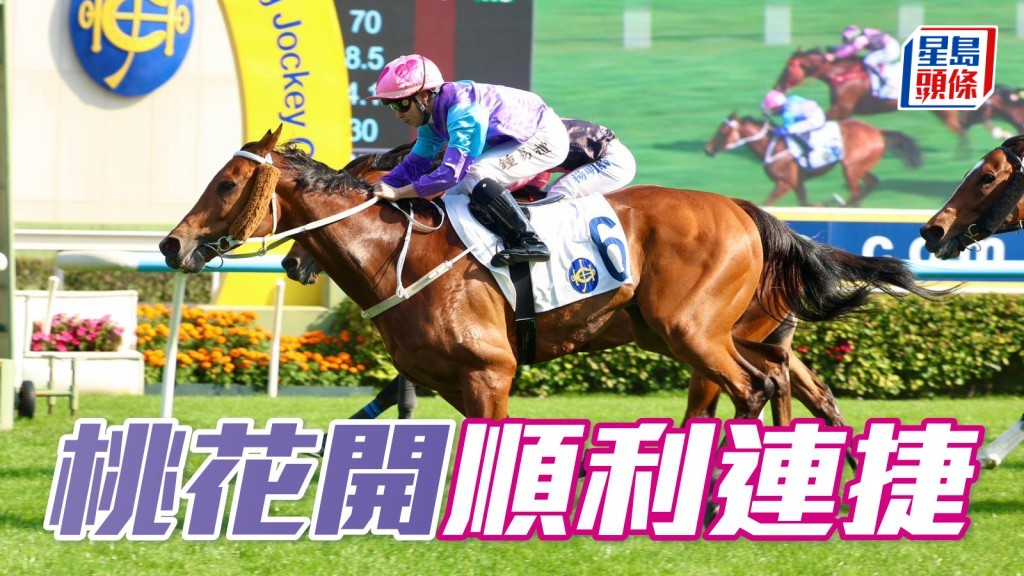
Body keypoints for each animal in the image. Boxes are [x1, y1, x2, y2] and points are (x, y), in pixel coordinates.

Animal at [161, 126, 947, 426]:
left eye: (228, 182)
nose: (173, 246)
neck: (402, 258)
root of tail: (748, 210)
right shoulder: (446, 378)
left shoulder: (490, 372)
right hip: (720, 332)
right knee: (788, 386)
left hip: (694, 330)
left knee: (753, 390)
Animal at [704, 112, 922, 207]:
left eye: (723, 131)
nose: (708, 149)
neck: (772, 146)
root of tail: (876, 130)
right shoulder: (797, 183)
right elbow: (804, 203)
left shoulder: (785, 183)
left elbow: (767, 202)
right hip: (859, 167)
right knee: (871, 183)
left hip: (851, 168)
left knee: (856, 190)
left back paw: (839, 203)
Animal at [774, 48, 966, 138]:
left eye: (787, 69)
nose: (777, 87)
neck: (841, 74)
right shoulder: (843, 112)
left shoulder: (842, 109)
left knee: (958, 128)